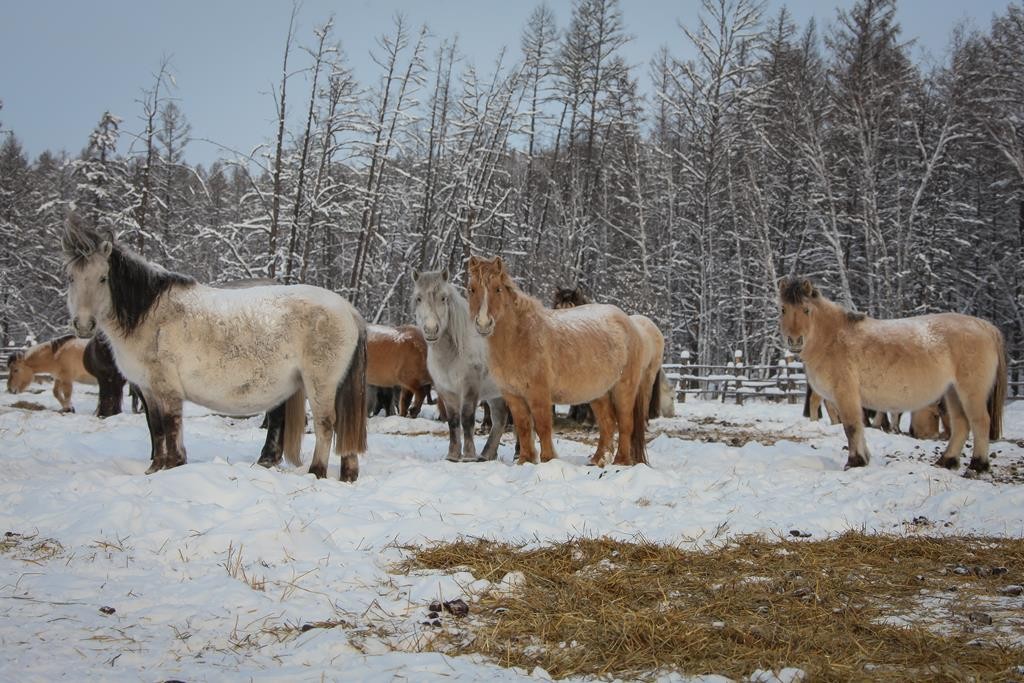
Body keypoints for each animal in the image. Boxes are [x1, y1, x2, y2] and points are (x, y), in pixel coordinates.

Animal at [62, 224, 368, 481]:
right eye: (71, 278)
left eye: (103, 279)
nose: (83, 324)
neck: (150, 315)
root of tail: (348, 309)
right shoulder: (148, 389)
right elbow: (156, 427)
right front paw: (156, 467)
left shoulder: (166, 387)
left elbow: (170, 425)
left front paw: (172, 464)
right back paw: (348, 473)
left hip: (321, 384)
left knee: (326, 424)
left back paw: (316, 471)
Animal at [411, 270, 507, 462]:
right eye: (418, 298)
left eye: (443, 298)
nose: (431, 329)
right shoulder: (446, 390)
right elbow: (453, 421)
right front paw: (453, 455)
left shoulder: (470, 386)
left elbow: (467, 418)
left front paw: (469, 455)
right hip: (496, 394)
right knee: (500, 419)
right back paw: (487, 455)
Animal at [468, 253, 651, 466]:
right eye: (472, 289)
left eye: (497, 289)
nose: (483, 324)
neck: (521, 337)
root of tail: (631, 324)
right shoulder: (513, 395)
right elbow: (523, 427)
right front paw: (525, 460)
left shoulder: (539, 393)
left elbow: (543, 426)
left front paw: (548, 460)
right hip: (599, 393)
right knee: (607, 423)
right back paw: (597, 460)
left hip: (623, 388)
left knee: (625, 424)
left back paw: (620, 461)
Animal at [782, 278, 1007, 475]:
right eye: (783, 309)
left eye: (806, 310)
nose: (794, 341)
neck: (834, 338)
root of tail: (987, 327)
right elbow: (859, 426)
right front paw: (864, 458)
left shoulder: (845, 394)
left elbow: (852, 427)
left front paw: (855, 462)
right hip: (953, 392)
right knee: (961, 424)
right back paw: (946, 461)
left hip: (971, 392)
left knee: (980, 422)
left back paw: (977, 466)